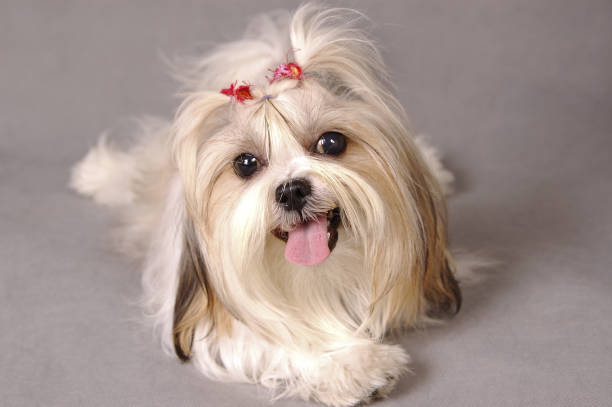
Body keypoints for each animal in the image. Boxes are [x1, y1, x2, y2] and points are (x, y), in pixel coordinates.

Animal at [71, 3, 462, 407]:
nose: (291, 190)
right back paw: (96, 172)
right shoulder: (219, 322)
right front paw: (350, 364)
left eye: (331, 142)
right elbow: (278, 336)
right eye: (246, 163)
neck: (317, 278)